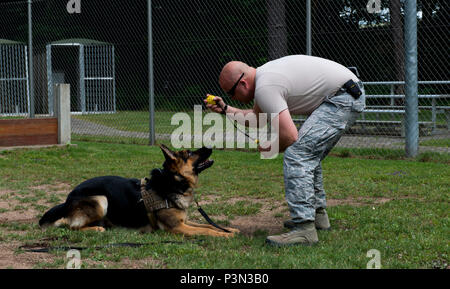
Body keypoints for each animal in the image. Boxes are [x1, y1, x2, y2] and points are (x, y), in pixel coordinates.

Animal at [39, 144, 239, 236]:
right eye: (189, 153)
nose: (211, 146)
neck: (171, 184)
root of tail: (67, 199)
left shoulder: (184, 222)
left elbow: (207, 225)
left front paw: (229, 230)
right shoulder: (178, 227)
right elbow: (208, 231)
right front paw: (224, 235)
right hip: (101, 200)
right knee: (70, 225)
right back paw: (96, 229)